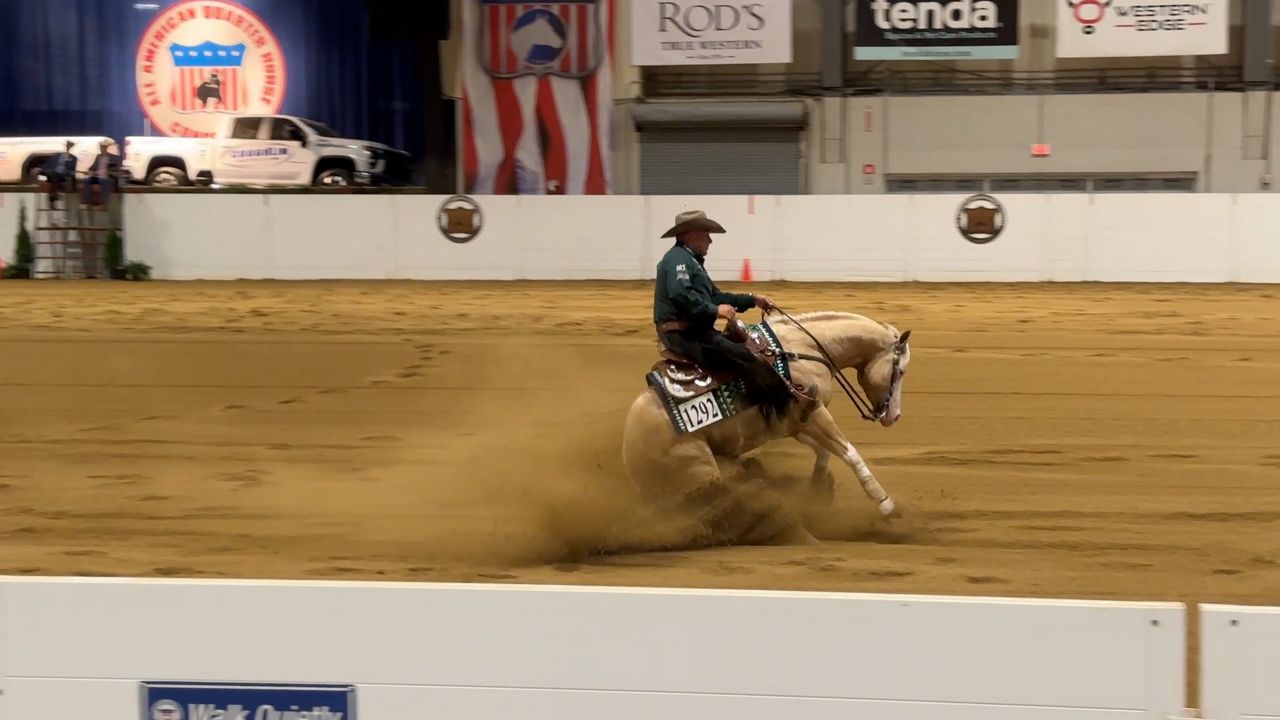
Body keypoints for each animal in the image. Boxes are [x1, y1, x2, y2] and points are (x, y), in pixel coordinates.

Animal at [619, 307, 911, 543]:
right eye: (901, 371)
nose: (894, 416)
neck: (803, 349)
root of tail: (629, 450)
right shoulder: (814, 413)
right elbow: (850, 453)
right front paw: (887, 505)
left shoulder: (795, 424)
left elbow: (824, 451)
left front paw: (819, 488)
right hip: (699, 472)